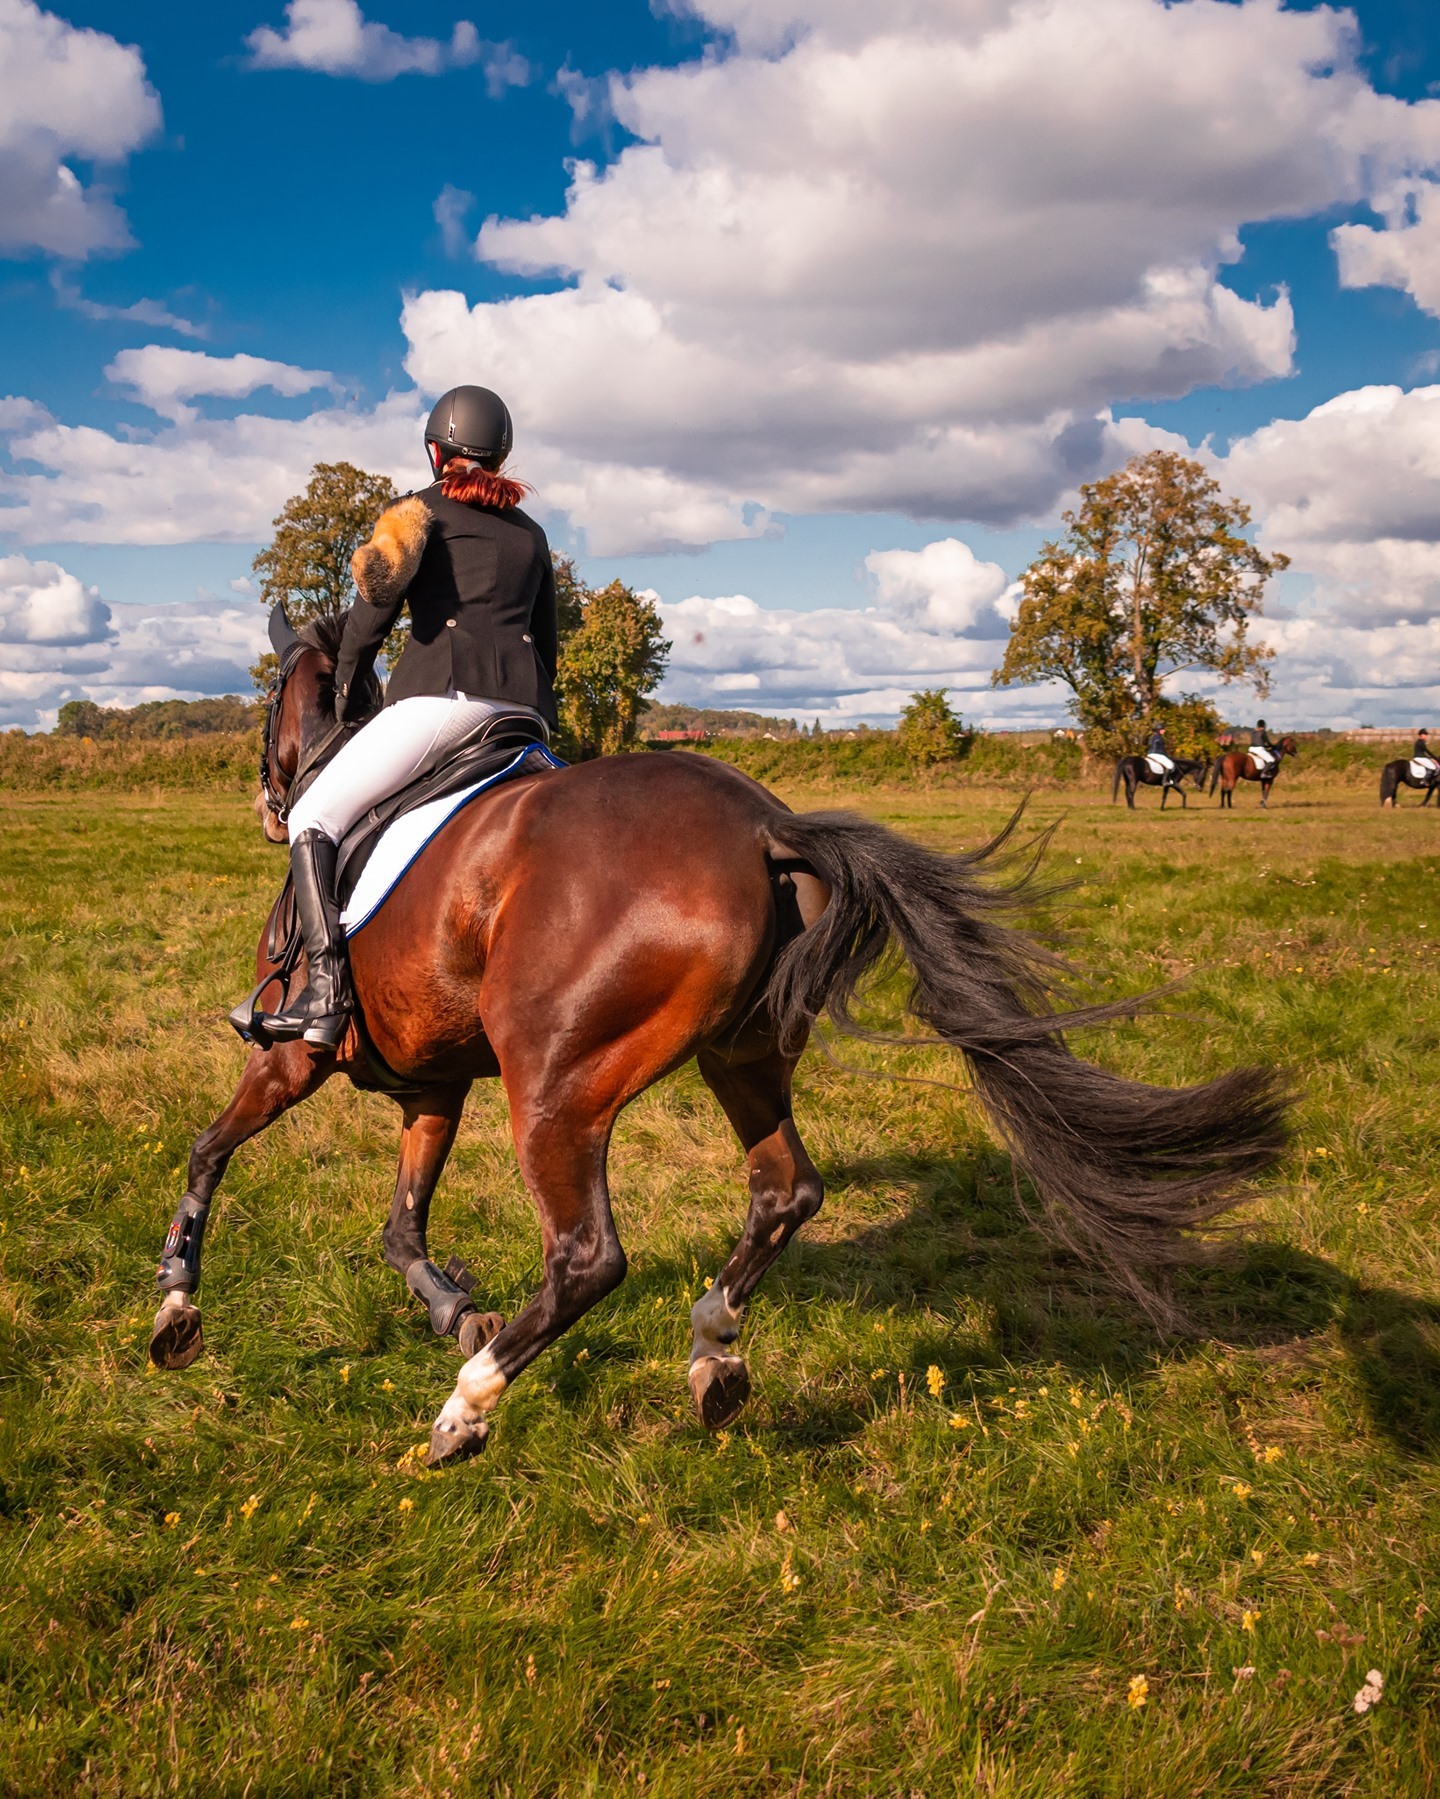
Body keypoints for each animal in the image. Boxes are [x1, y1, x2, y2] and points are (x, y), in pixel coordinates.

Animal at [148, 609, 1290, 1468]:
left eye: (268, 695)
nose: (269, 801)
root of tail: (763, 826)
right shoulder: (432, 1085)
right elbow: (401, 1226)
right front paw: (452, 1308)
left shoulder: (293, 1054)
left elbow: (209, 1149)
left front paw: (176, 1303)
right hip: (740, 1056)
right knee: (786, 1190)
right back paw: (715, 1356)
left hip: (556, 1085)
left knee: (589, 1257)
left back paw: (467, 1409)